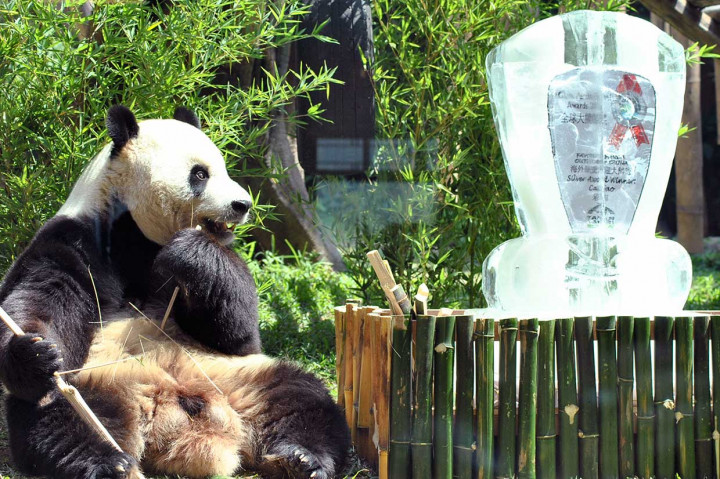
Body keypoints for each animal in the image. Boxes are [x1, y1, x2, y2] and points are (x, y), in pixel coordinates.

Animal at [0, 105, 350, 479]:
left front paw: (190, 251)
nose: (243, 204)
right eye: (200, 174)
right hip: (95, 379)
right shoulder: (73, 241)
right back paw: (107, 461)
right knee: (58, 412)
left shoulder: (217, 276)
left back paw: (301, 457)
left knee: (301, 396)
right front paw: (35, 352)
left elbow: (238, 333)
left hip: (241, 377)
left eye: (223, 168)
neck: (135, 233)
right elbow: (44, 298)